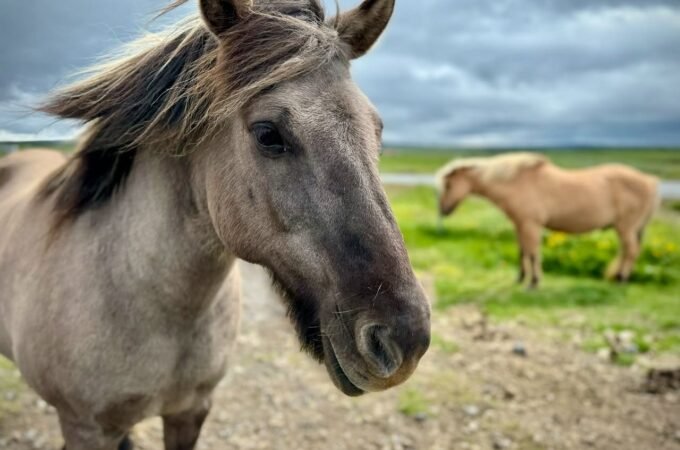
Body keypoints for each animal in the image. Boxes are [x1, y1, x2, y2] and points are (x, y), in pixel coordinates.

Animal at [436, 152, 659, 288]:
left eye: (448, 185)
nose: (442, 210)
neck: (516, 182)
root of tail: (650, 181)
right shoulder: (520, 225)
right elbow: (523, 252)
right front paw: (520, 278)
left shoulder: (531, 225)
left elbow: (533, 253)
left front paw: (533, 283)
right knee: (626, 252)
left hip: (626, 227)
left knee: (631, 251)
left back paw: (622, 280)